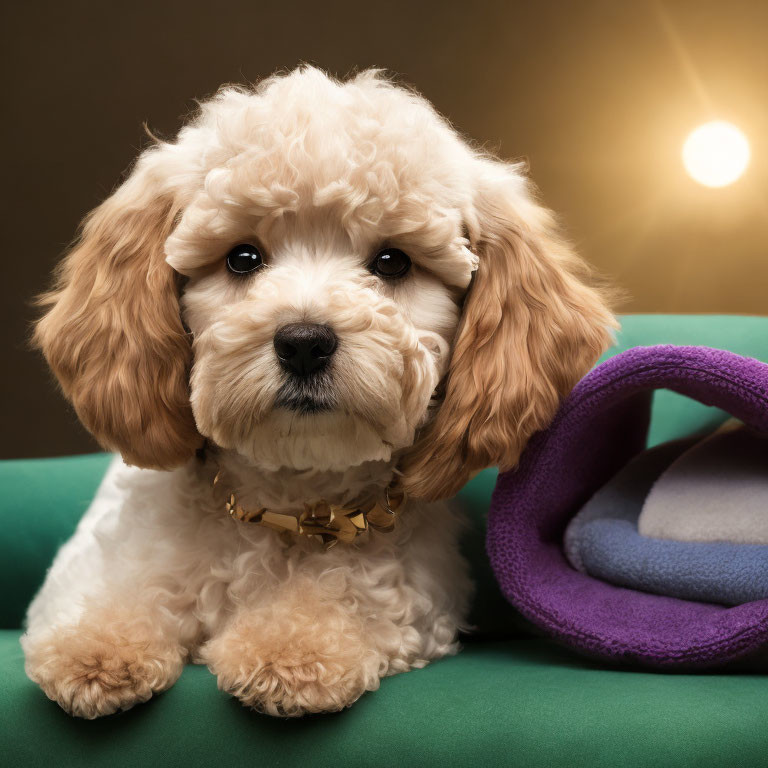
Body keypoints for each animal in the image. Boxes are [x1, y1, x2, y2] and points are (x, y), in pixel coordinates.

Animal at [21, 67, 616, 720]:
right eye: (242, 258)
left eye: (393, 261)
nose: (304, 342)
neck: (287, 502)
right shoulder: (88, 569)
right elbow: (122, 589)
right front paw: (97, 645)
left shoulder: (419, 591)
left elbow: (349, 592)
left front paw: (292, 646)